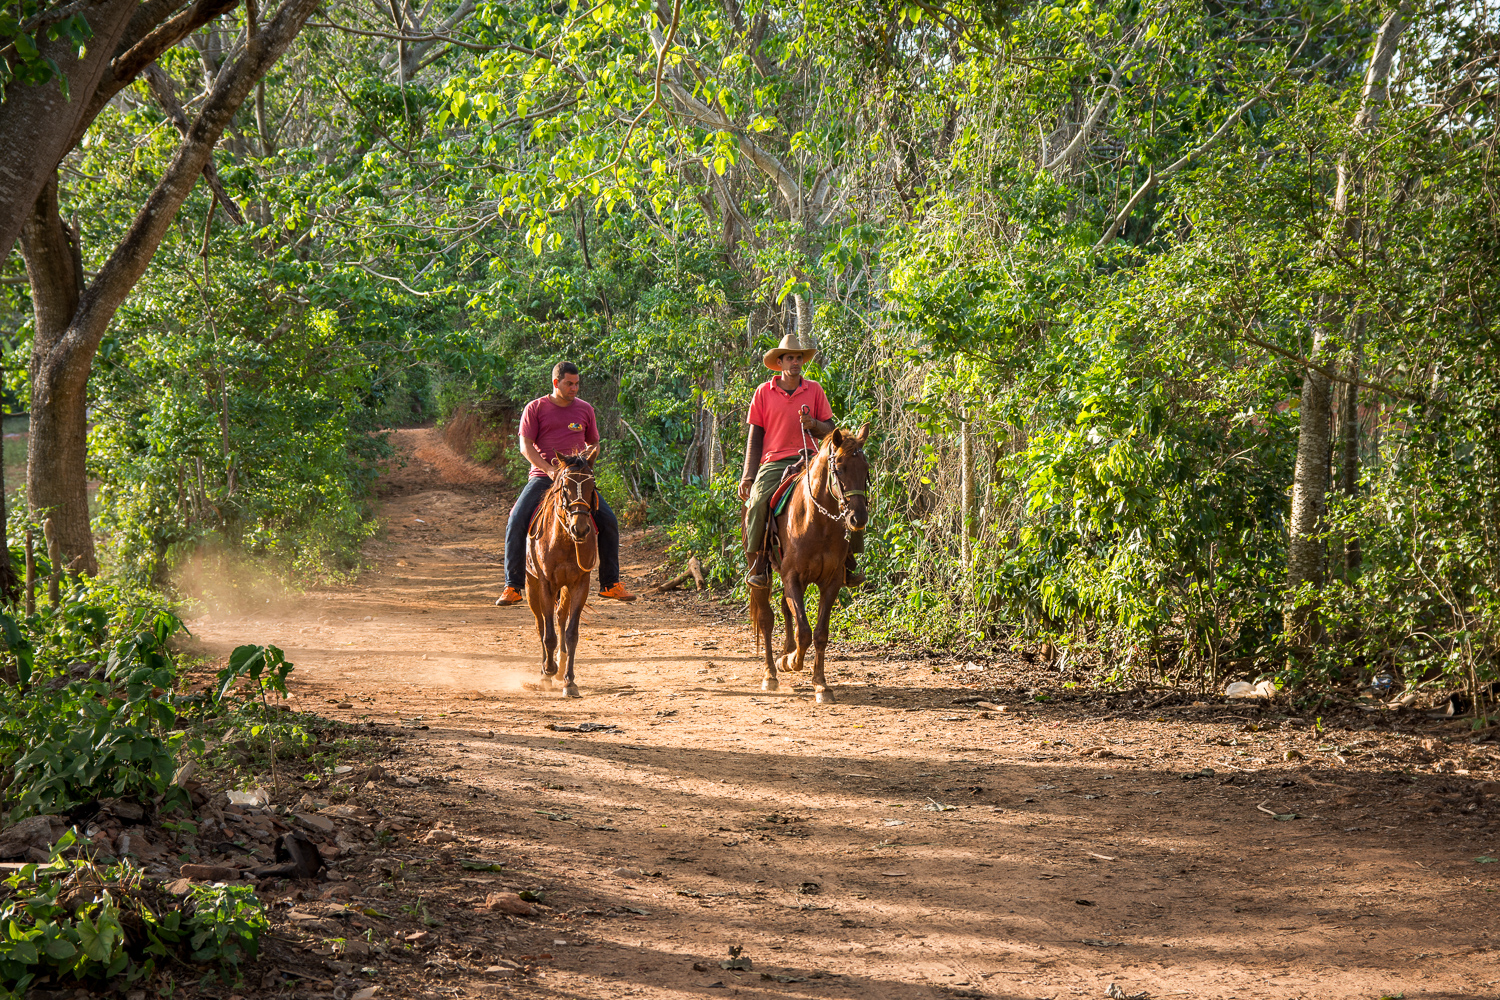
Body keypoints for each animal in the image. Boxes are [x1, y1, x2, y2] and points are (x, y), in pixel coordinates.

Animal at [525, 446, 600, 695]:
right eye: (565, 486)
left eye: (592, 486)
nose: (581, 529)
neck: (564, 540)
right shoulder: (546, 584)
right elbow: (548, 635)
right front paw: (547, 671)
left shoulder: (580, 584)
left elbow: (571, 633)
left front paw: (569, 681)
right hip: (531, 585)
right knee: (540, 624)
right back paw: (546, 670)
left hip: (565, 588)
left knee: (559, 617)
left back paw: (560, 666)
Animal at [747, 422, 870, 704]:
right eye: (839, 468)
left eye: (866, 469)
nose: (858, 518)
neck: (818, 521)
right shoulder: (792, 576)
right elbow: (803, 630)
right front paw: (791, 662)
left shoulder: (831, 582)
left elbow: (820, 633)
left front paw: (821, 685)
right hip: (760, 574)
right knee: (767, 619)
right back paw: (771, 673)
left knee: (785, 609)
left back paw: (785, 653)